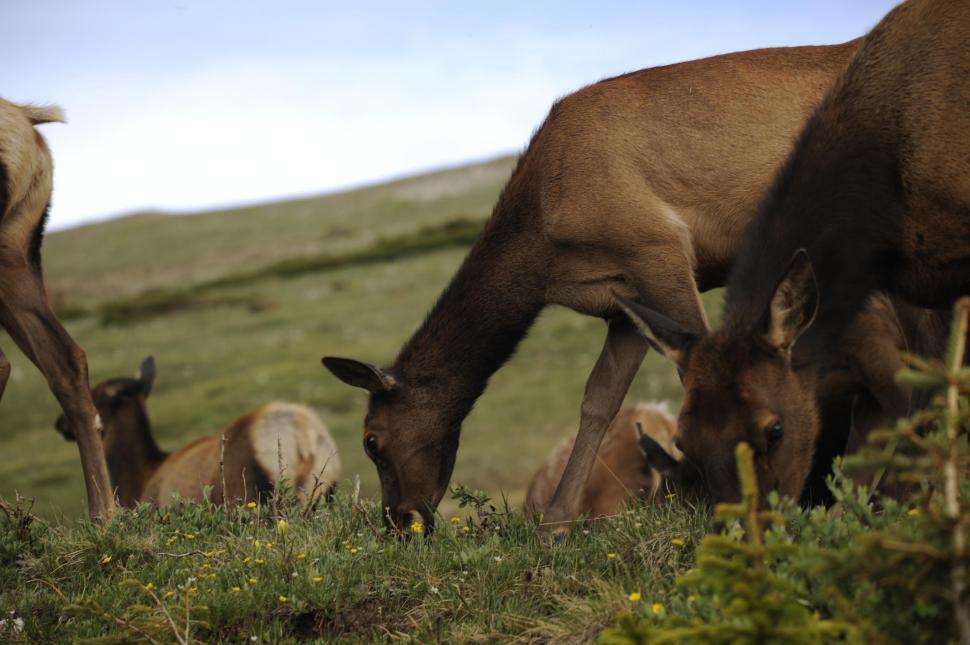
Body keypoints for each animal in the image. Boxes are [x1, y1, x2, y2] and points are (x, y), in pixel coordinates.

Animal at [54, 357, 342, 507]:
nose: (60, 423)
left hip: (248, 495)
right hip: (321, 493)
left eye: (94, 396)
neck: (138, 482)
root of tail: (303, 439)